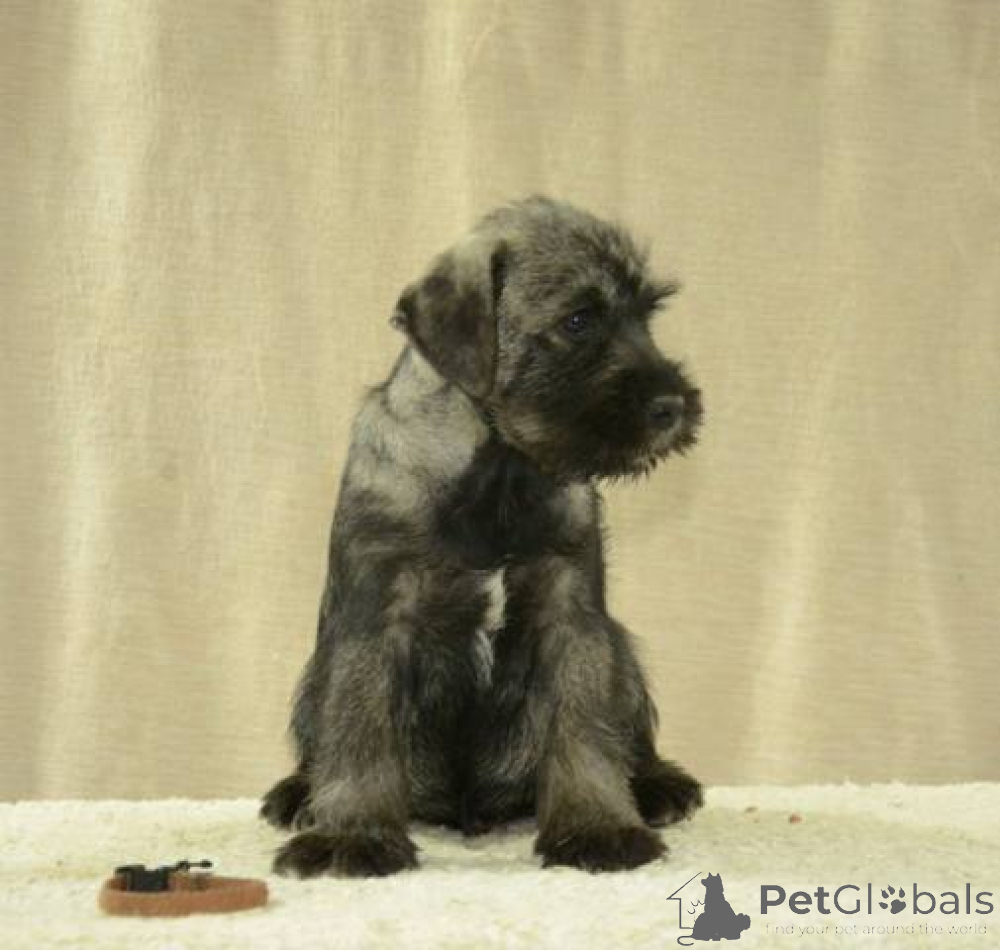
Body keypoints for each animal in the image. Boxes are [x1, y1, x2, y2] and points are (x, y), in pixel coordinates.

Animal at [261, 196, 704, 877]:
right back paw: (298, 794)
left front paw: (597, 825)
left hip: (621, 651)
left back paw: (655, 786)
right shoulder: (374, 624)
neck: (498, 471)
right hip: (314, 677)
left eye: (647, 316)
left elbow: (585, 730)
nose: (672, 407)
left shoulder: (572, 619)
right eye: (579, 320)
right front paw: (355, 835)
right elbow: (361, 734)